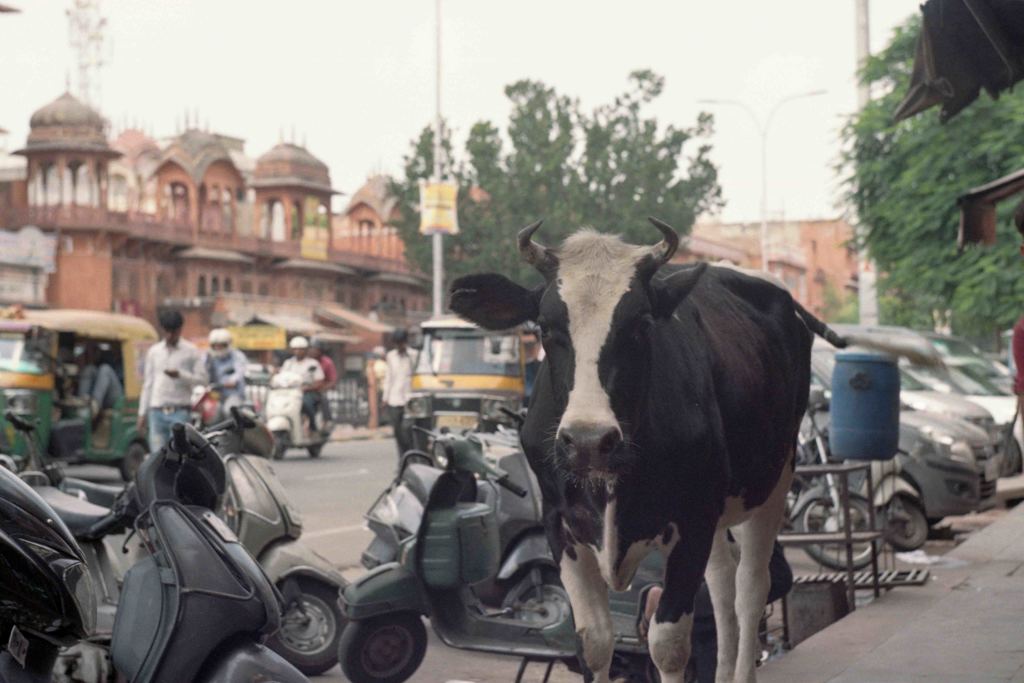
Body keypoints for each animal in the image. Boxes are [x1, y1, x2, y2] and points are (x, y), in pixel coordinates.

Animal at [448, 219, 847, 683]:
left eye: (640, 324)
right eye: (544, 328)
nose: (588, 440)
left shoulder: (692, 519)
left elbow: (668, 644)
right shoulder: (559, 523)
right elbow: (593, 640)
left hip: (772, 481)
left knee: (750, 587)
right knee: (722, 581)